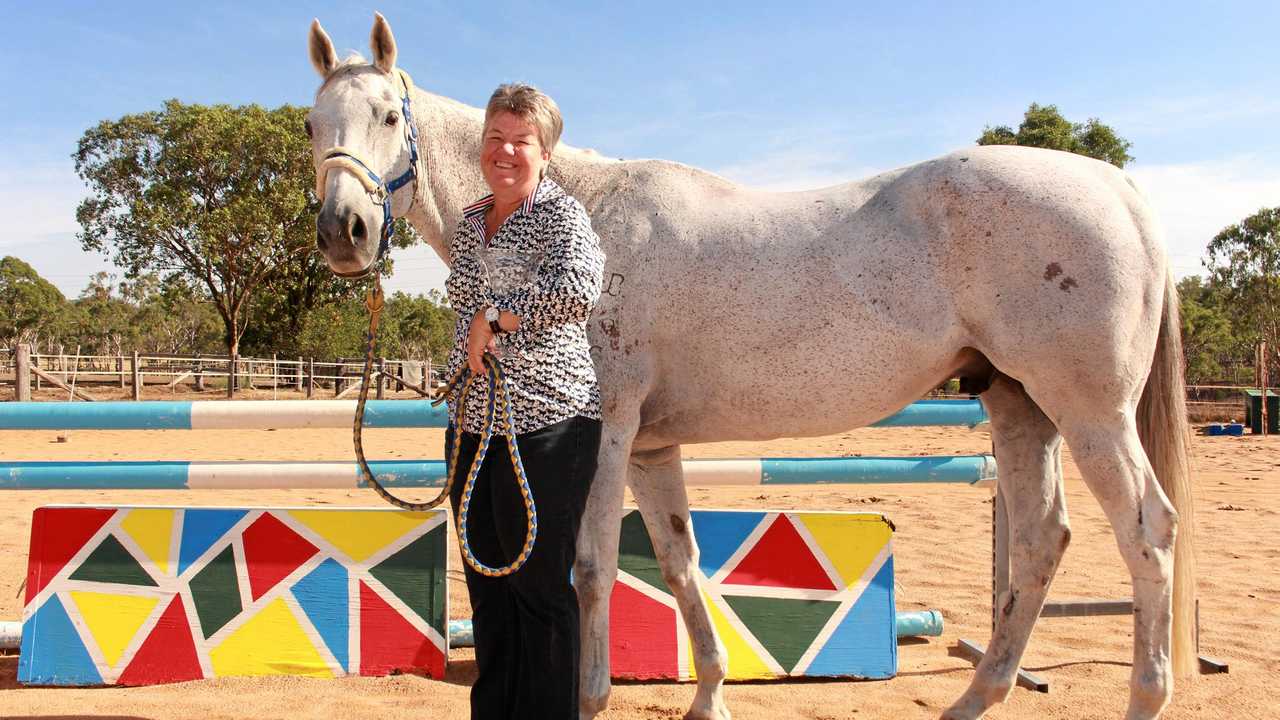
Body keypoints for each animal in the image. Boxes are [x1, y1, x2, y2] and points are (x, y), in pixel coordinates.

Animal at [304, 14, 1192, 712]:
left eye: (389, 114)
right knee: (1043, 540)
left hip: (1089, 413)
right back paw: (976, 698)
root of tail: (1119, 188)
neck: (589, 219)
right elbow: (680, 564)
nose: (345, 231)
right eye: (314, 125)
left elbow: (590, 567)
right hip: (1020, 409)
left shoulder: (611, 432)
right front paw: (709, 696)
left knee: (1147, 531)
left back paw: (1143, 696)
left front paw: (593, 697)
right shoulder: (654, 448)